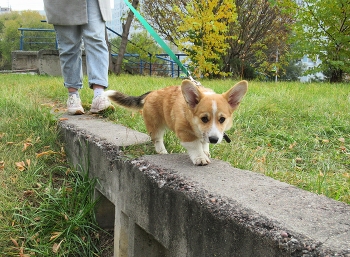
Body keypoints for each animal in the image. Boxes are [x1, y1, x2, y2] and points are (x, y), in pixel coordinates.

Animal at [105, 79, 247, 165]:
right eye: (204, 119)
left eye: (222, 119)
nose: (214, 140)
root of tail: (151, 93)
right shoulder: (184, 132)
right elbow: (195, 146)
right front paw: (200, 157)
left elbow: (203, 142)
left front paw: (206, 151)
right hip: (155, 125)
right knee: (157, 139)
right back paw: (162, 151)